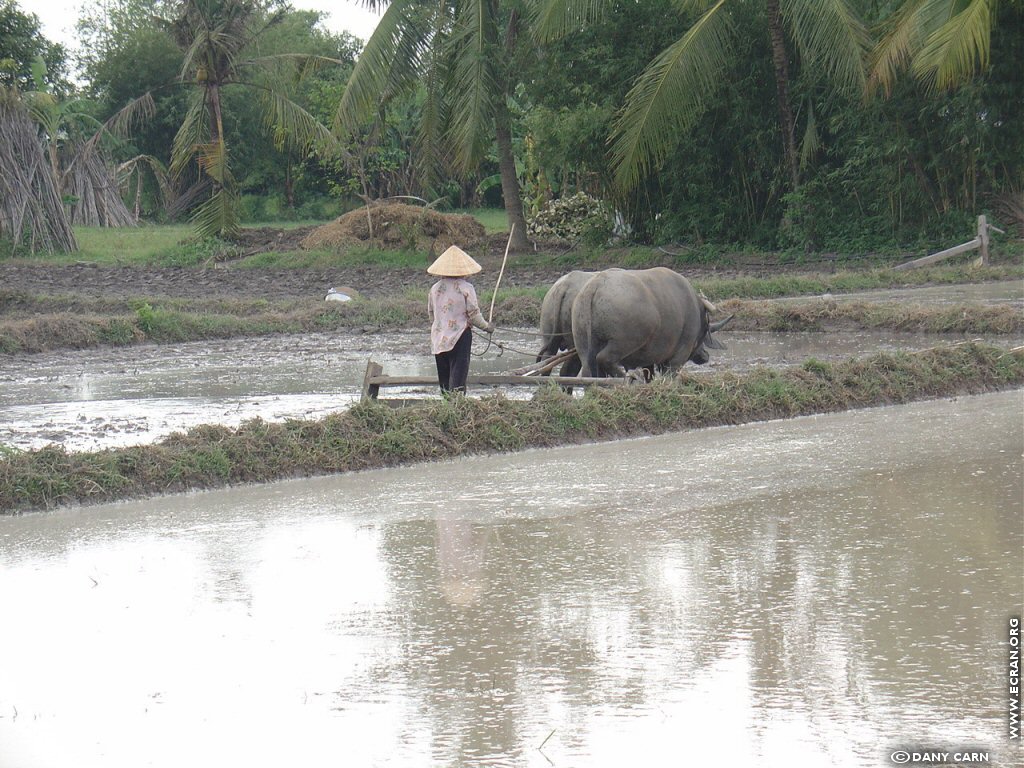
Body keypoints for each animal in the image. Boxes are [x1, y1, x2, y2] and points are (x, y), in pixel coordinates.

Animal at [573, 268, 733, 380]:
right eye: (706, 332)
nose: (705, 355)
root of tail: (595, 285)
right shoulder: (679, 355)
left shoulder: (648, 360)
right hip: (624, 342)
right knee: (604, 358)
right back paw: (631, 378)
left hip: (583, 342)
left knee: (589, 369)